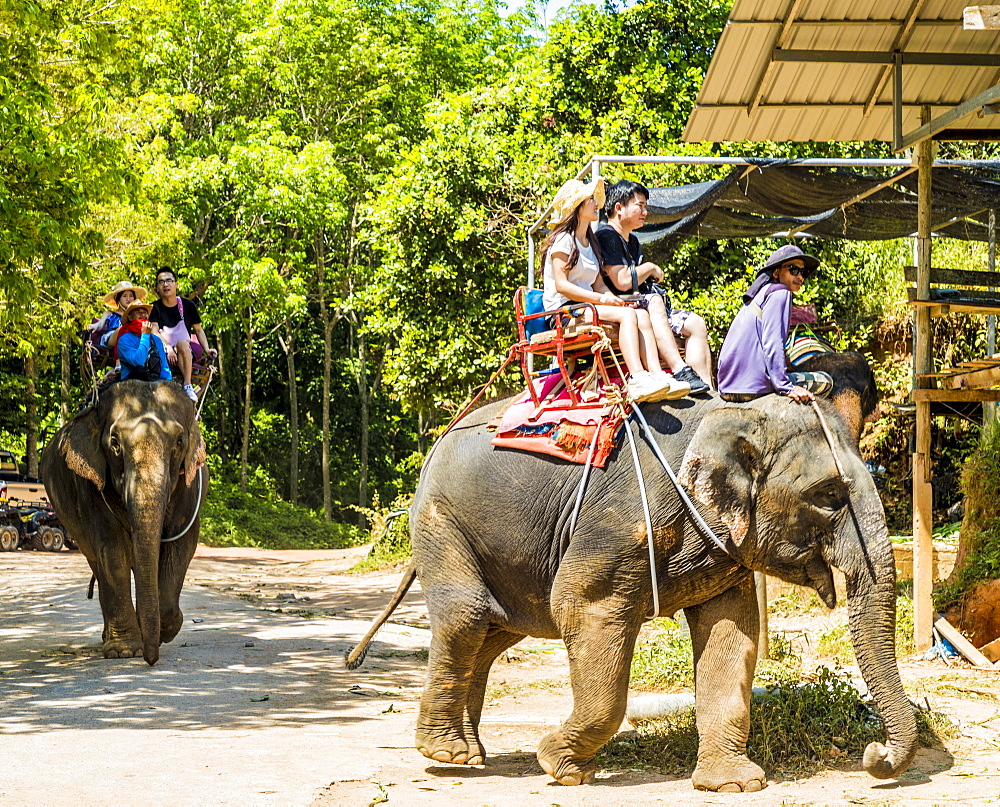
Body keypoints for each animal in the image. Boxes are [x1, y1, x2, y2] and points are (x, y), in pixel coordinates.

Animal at [41, 382, 207, 664]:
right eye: (115, 443)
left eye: (179, 442)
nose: (151, 661)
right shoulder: (90, 486)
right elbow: (113, 551)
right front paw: (126, 650)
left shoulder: (190, 488)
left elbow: (180, 547)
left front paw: (164, 631)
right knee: (98, 562)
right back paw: (112, 639)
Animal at [350, 370, 916, 792]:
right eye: (828, 495)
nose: (874, 754)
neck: (733, 413)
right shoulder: (617, 522)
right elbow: (582, 605)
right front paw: (559, 766)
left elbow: (731, 631)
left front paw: (733, 784)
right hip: (440, 519)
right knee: (468, 616)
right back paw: (448, 753)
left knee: (496, 630)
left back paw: (470, 751)